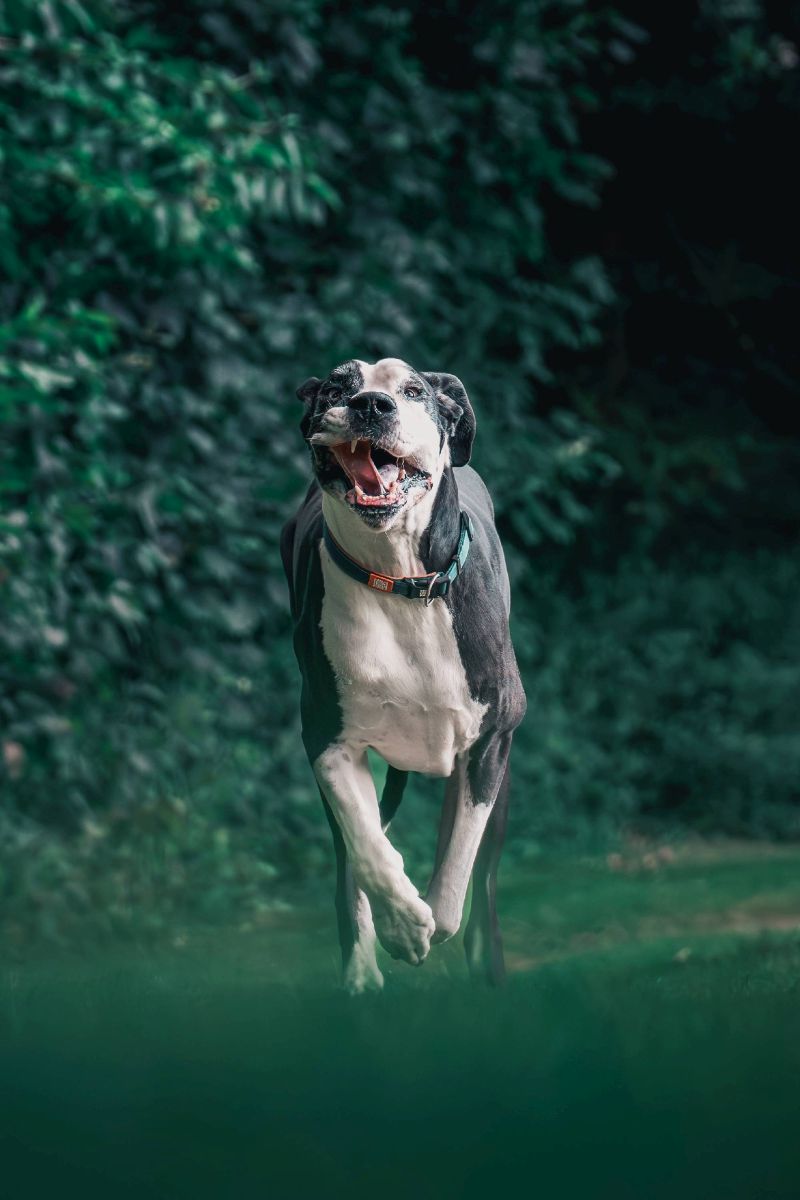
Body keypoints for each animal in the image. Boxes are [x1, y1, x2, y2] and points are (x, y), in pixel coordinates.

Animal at [281, 358, 526, 992]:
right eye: (337, 386)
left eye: (414, 391)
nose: (371, 404)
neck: (399, 582)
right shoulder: (327, 739)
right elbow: (366, 845)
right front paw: (401, 926)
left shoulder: (491, 741)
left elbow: (459, 862)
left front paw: (432, 920)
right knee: (352, 861)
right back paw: (362, 973)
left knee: (484, 878)